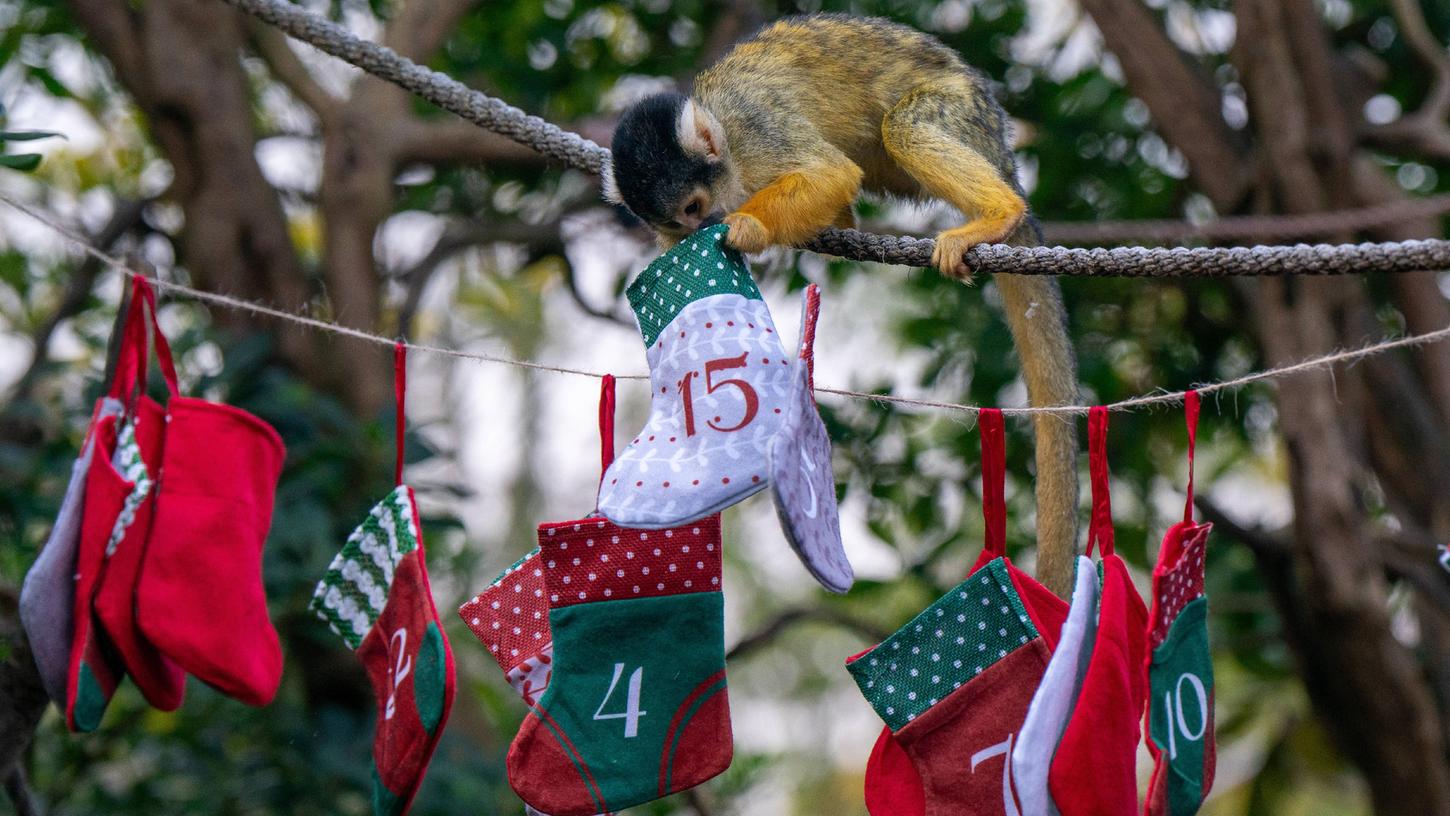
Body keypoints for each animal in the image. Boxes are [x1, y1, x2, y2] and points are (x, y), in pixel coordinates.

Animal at [606, 12, 1084, 594]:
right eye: (679, 221)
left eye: (696, 207)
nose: (702, 226)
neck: (729, 153)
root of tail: (1001, 142)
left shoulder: (755, 129)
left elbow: (827, 173)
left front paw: (747, 228)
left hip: (963, 108)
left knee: (906, 126)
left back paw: (998, 213)